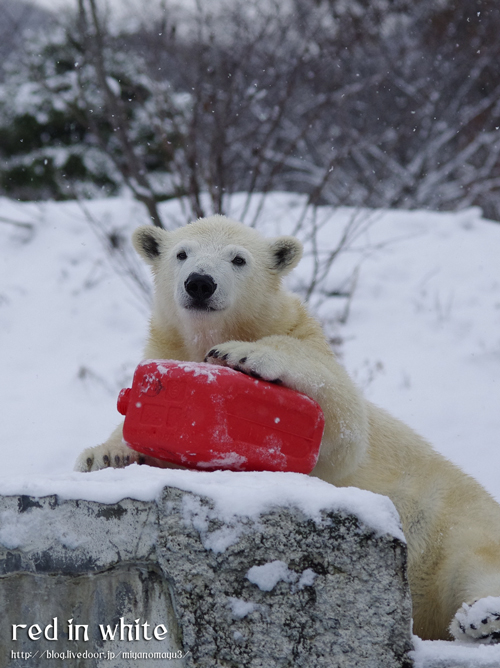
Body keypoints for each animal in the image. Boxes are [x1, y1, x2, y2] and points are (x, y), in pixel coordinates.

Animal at [75, 214, 500, 640]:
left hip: (451, 525)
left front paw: (244, 355)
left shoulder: (304, 340)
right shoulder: (166, 351)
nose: (200, 283)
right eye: (181, 253)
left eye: (239, 259)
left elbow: (347, 422)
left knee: (472, 565)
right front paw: (104, 455)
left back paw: (481, 619)